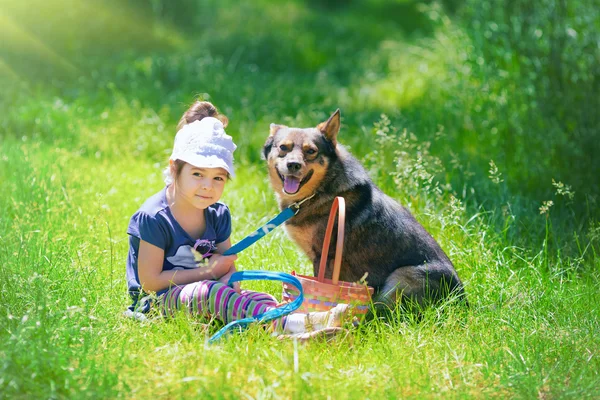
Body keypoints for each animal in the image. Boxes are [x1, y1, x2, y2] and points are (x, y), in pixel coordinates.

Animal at [264, 109, 468, 310]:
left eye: (311, 151)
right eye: (283, 147)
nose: (293, 165)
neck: (322, 189)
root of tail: (462, 301)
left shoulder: (325, 259)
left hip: (401, 277)